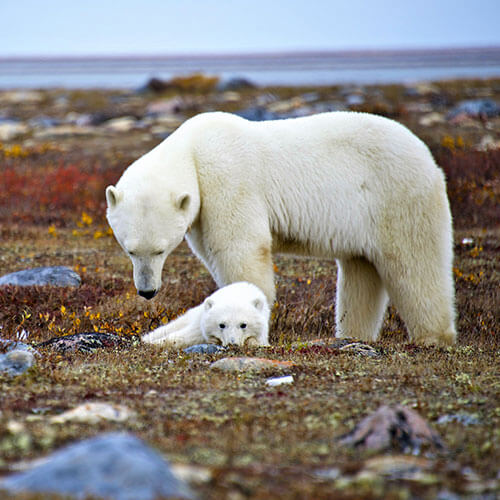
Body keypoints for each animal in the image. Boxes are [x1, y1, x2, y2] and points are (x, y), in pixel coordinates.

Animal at [106, 111, 458, 346]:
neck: (193, 150)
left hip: (397, 196)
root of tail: (427, 156)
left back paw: (432, 337)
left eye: (161, 249)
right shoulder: (202, 212)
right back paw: (352, 334)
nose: (147, 291)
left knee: (415, 266)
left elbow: (241, 249)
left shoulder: (227, 179)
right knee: (361, 272)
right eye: (130, 250)